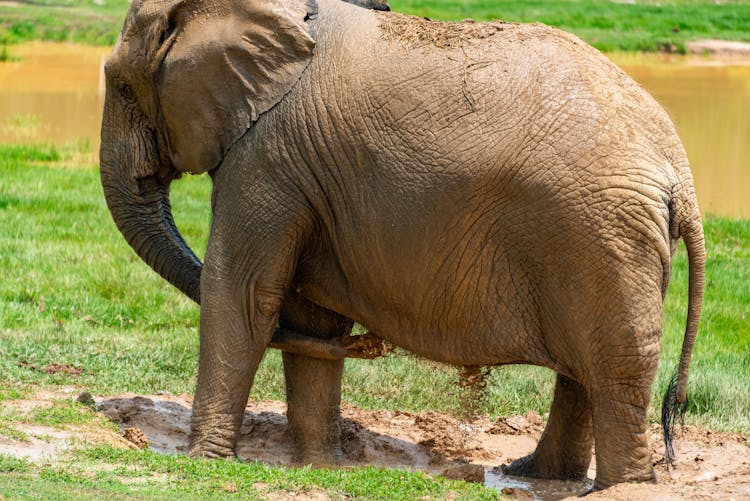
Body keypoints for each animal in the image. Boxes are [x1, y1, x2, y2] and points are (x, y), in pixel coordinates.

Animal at [100, 0, 704, 488]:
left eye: (124, 86)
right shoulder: (304, 171)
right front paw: (321, 466)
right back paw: (534, 475)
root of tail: (679, 172)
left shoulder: (267, 151)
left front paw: (201, 462)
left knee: (615, 369)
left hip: (602, 236)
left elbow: (243, 293)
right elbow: (311, 314)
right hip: (599, 240)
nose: (373, 343)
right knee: (586, 368)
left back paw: (620, 486)